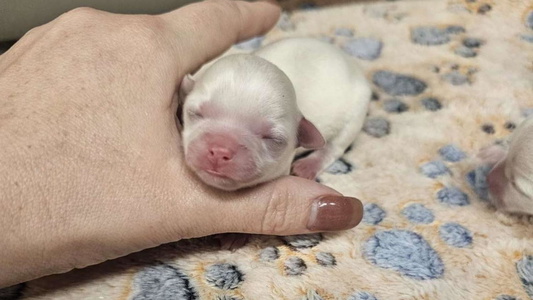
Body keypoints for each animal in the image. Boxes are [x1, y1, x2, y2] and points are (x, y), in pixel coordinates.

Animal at [179, 37, 370, 191]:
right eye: (195, 113)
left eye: (272, 139)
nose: (220, 151)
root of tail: (350, 61)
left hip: (356, 112)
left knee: (335, 147)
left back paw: (307, 165)